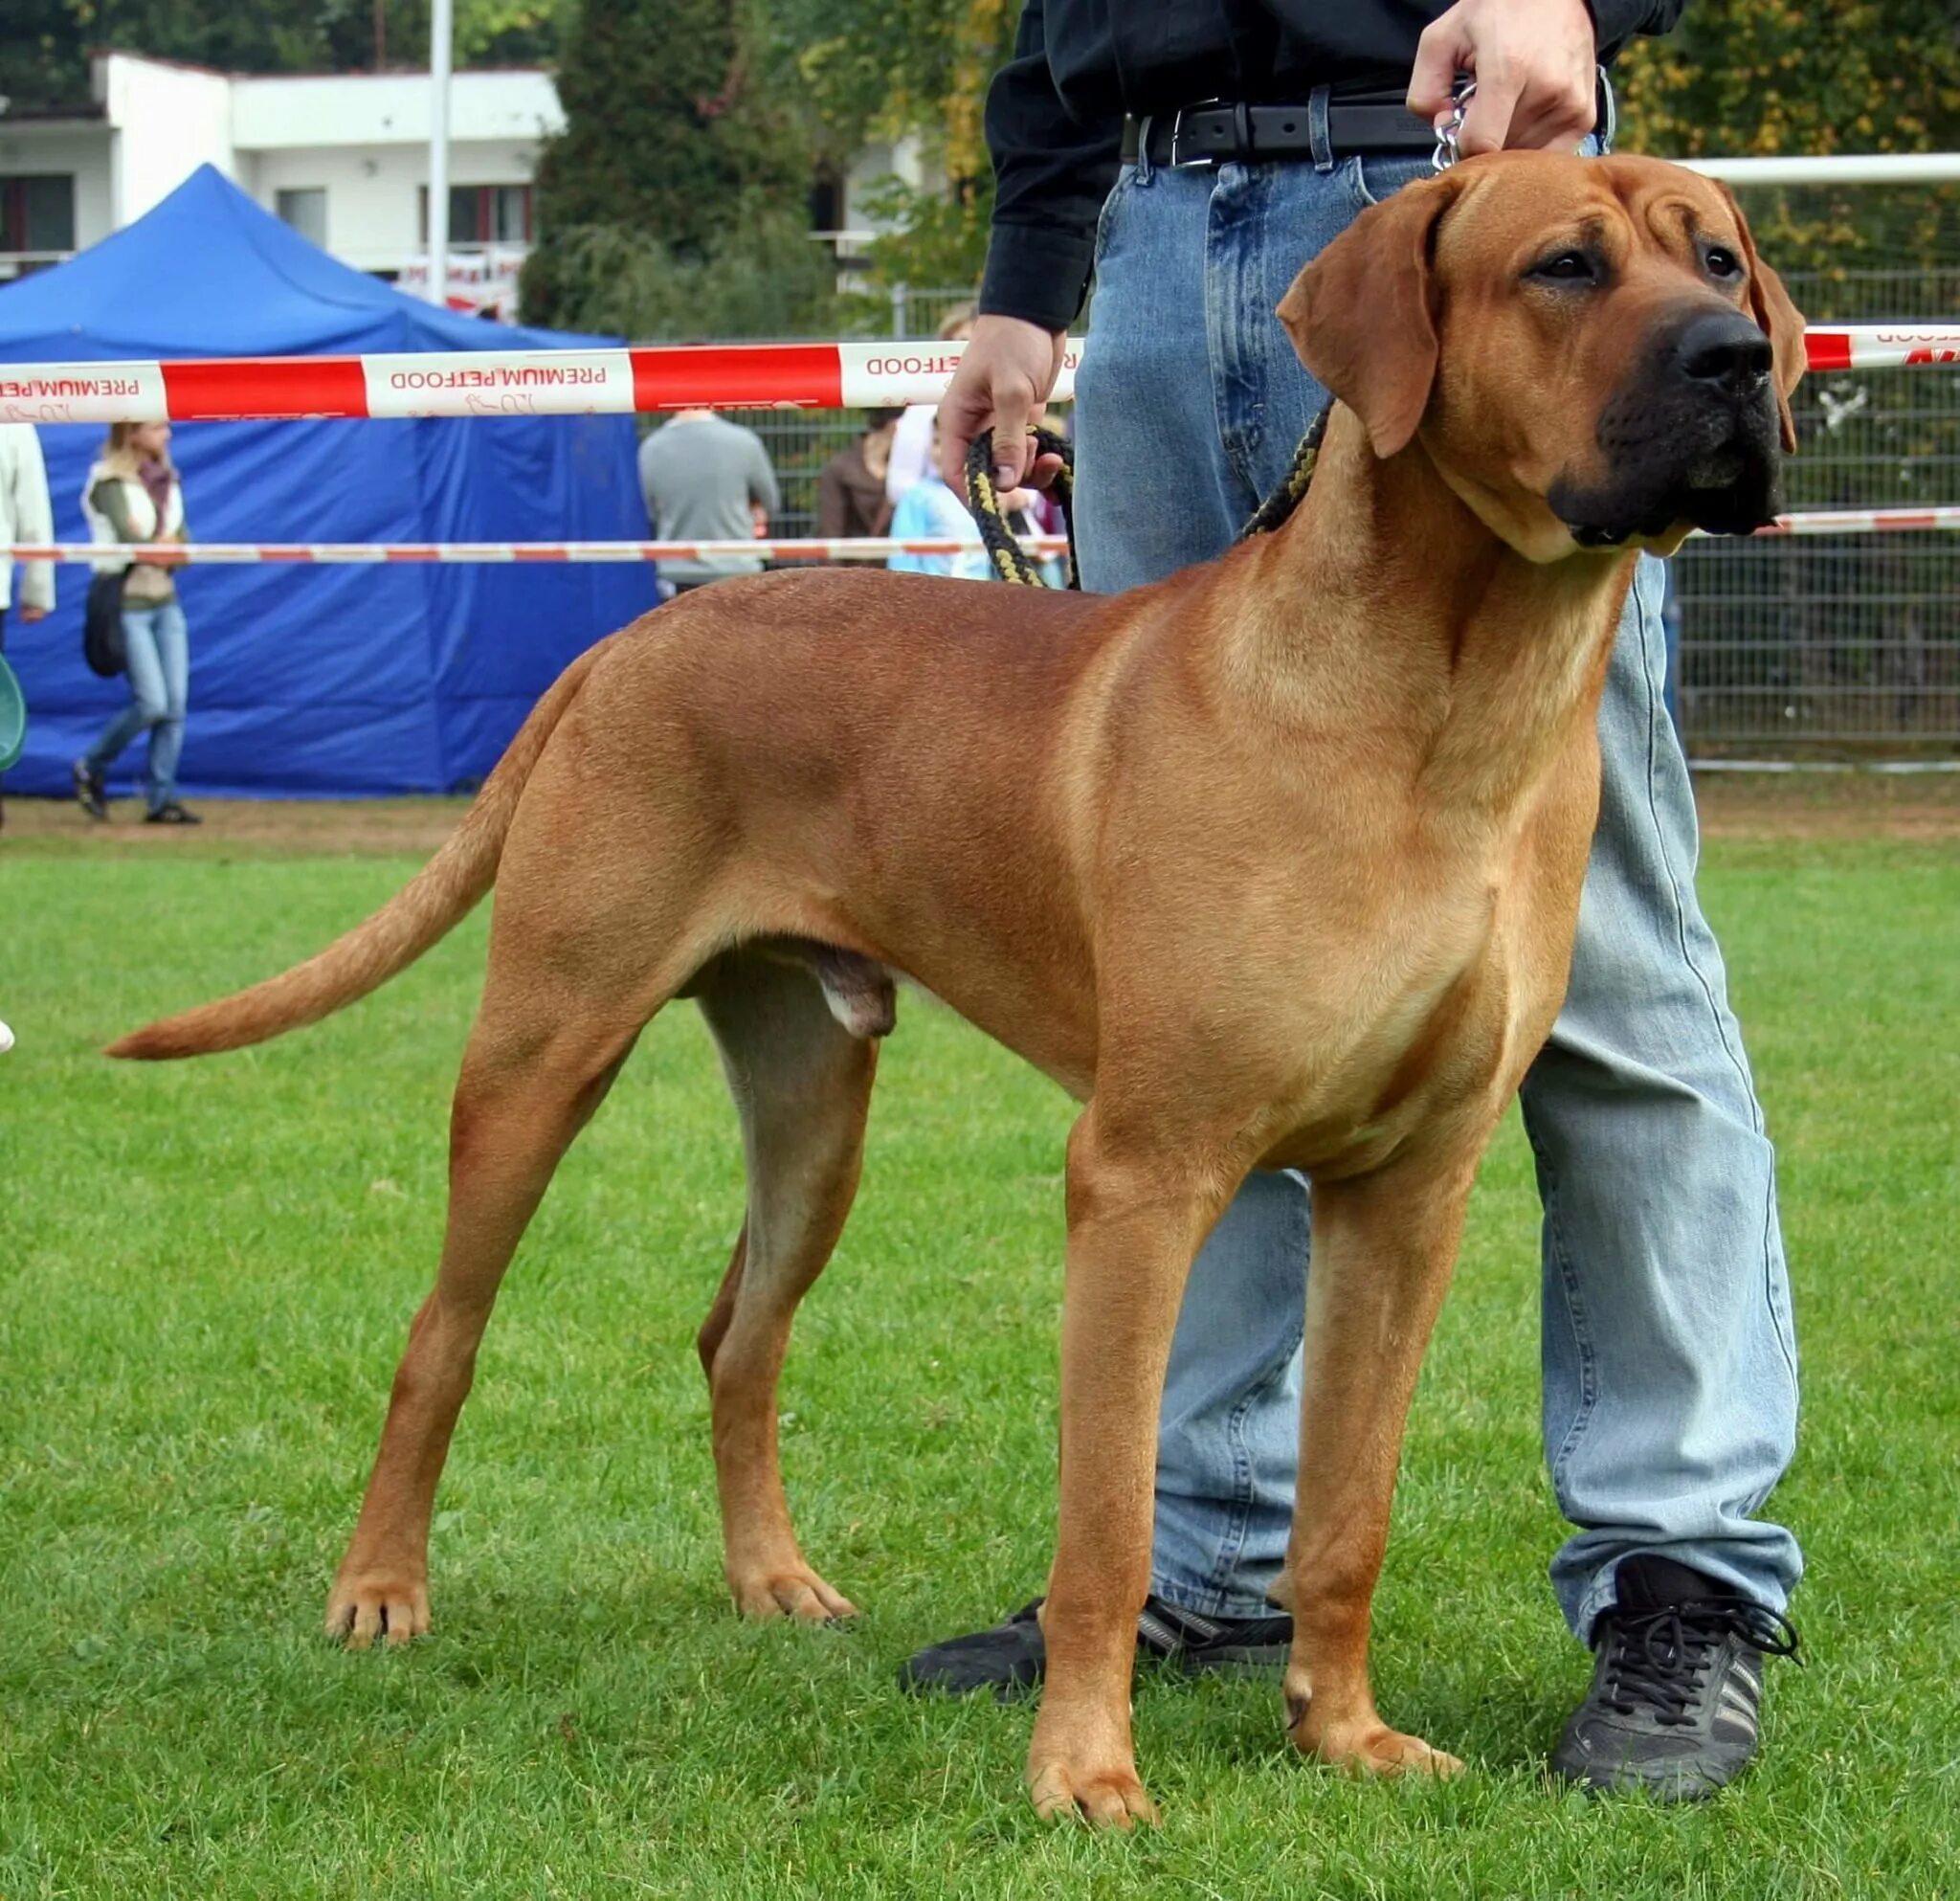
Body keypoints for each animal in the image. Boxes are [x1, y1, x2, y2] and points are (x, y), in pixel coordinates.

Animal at [114, 159, 1803, 1826]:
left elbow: (1349, 1508)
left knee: (737, 1335)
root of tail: (636, 632)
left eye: (1721, 260)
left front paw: (1342, 1733)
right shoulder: (1142, 1174)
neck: (1459, 698)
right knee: (441, 1333)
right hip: (543, 1052)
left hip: (814, 1109)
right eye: (1565, 266)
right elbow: (1106, 1519)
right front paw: (1085, 1766)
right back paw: (382, 1587)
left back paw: (771, 1577)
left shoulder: (1410, 1195)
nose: (1739, 359)